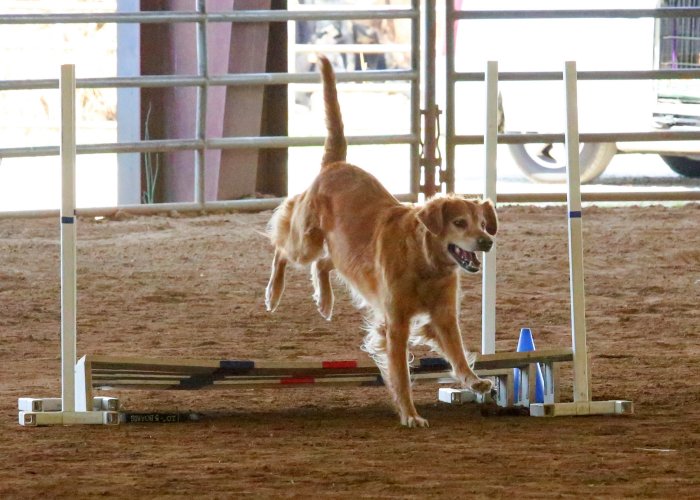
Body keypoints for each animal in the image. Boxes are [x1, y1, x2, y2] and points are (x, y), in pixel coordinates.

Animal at [264, 56, 498, 428]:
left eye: (483, 223)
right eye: (460, 223)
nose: (487, 242)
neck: (424, 262)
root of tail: (337, 163)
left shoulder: (443, 315)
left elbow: (459, 352)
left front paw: (473, 381)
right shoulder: (396, 323)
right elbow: (401, 373)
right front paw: (410, 414)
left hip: (344, 252)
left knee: (324, 264)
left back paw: (325, 301)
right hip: (306, 238)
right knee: (283, 249)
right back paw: (273, 293)